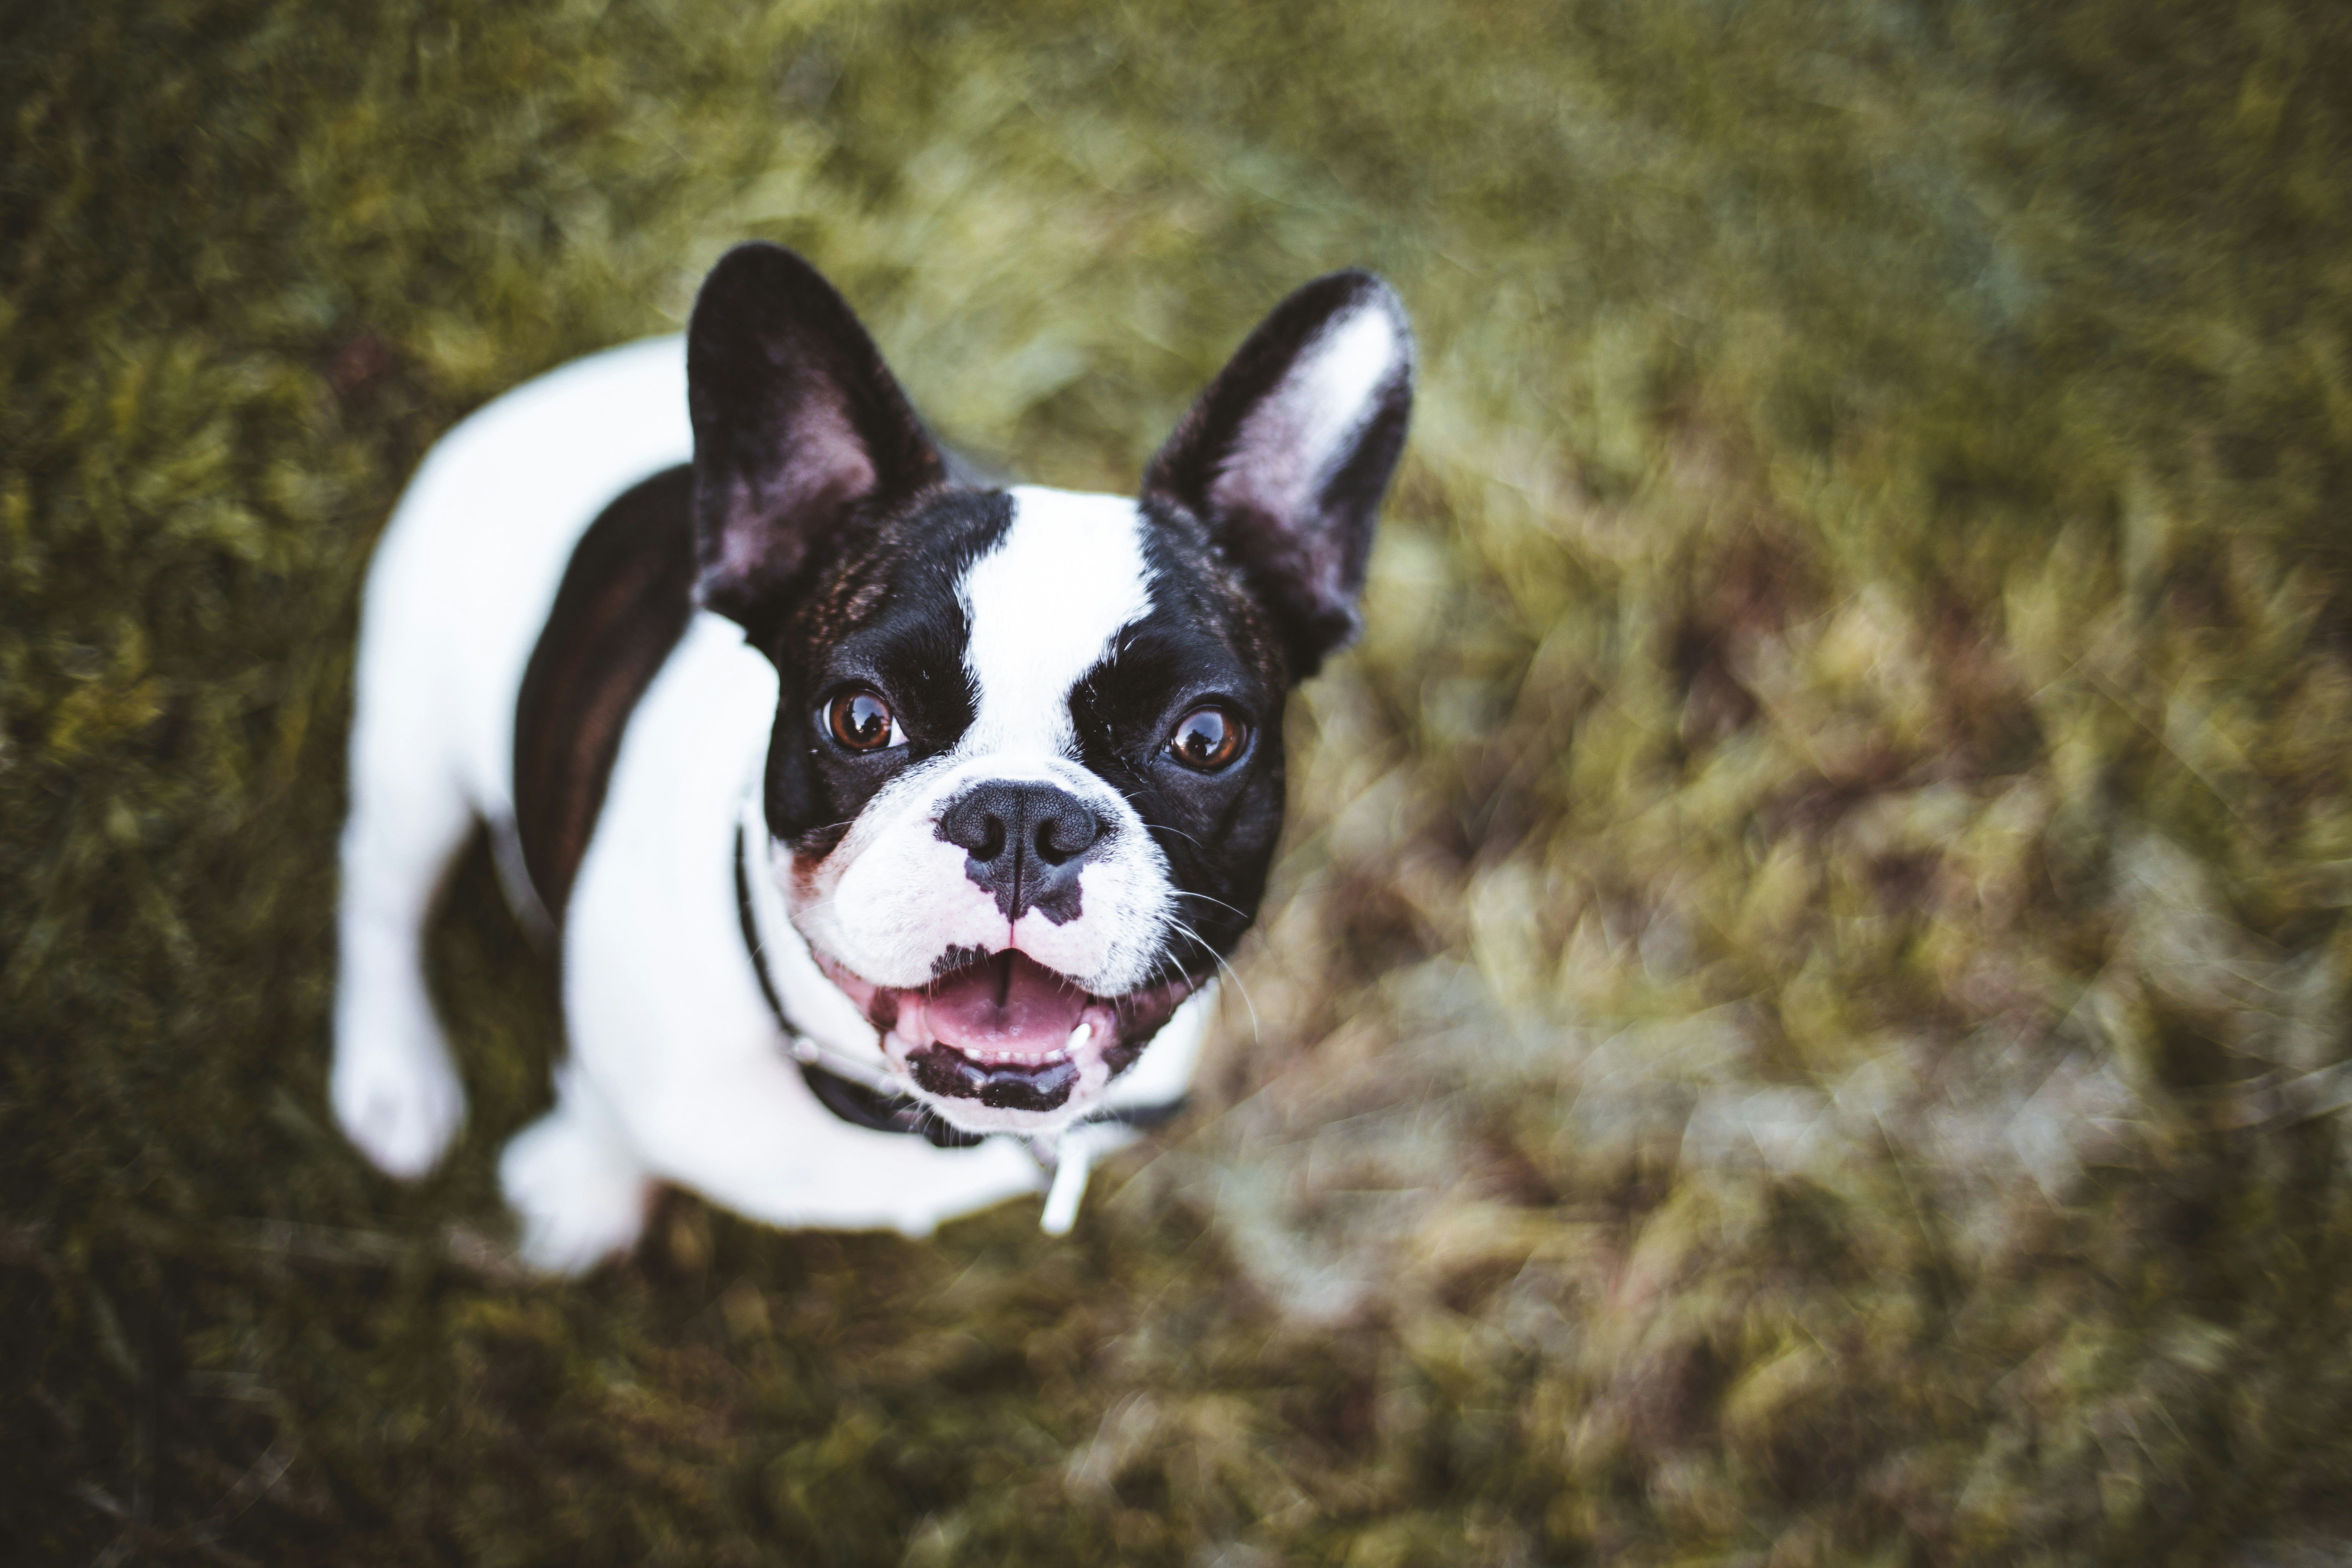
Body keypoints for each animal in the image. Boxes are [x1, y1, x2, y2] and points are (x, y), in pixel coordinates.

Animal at [331, 245, 1411, 1279]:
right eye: (860, 719)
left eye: (1206, 738)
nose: (1024, 818)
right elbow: (603, 1111)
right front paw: (585, 1192)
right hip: (413, 746)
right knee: (382, 891)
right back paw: (392, 1079)